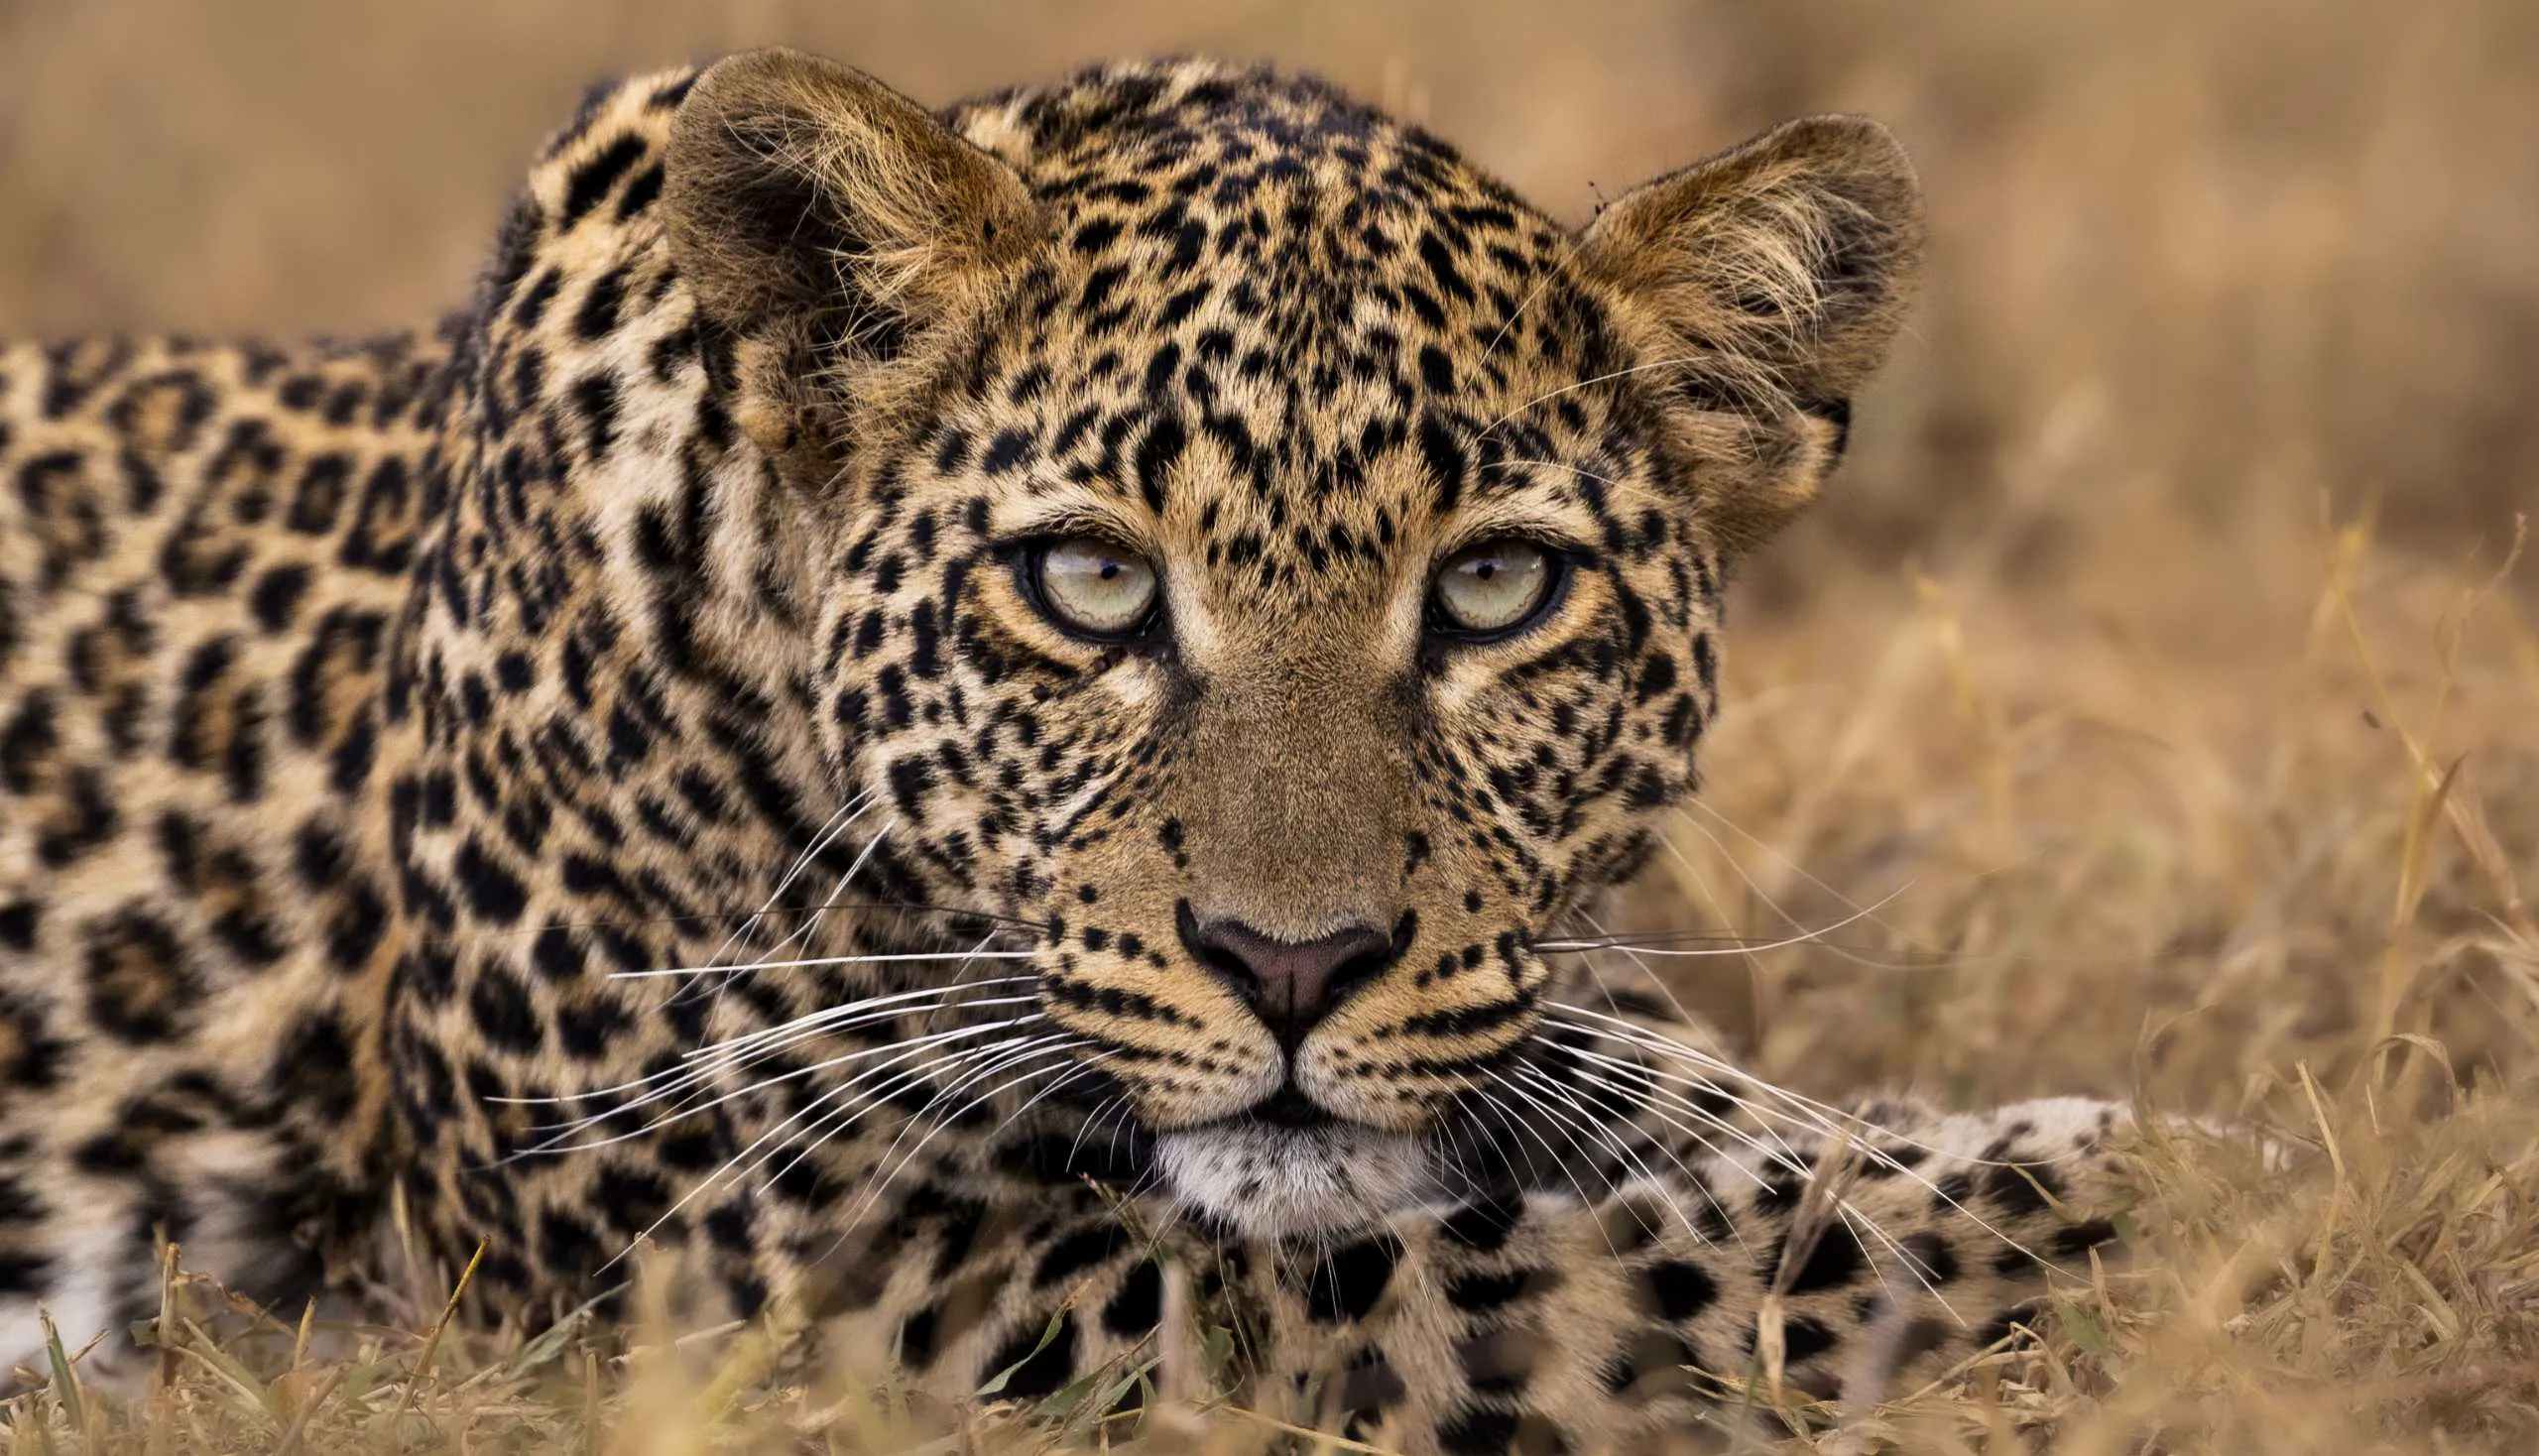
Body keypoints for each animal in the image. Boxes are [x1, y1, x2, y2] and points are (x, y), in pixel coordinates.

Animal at [0, 48, 2139, 1451]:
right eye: (1091, 582)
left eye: (1497, 586)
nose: (1292, 964)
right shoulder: (782, 1263)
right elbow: (1544, 1275)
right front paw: (2118, 1202)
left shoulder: (1553, 1013)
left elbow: (1724, 1125)